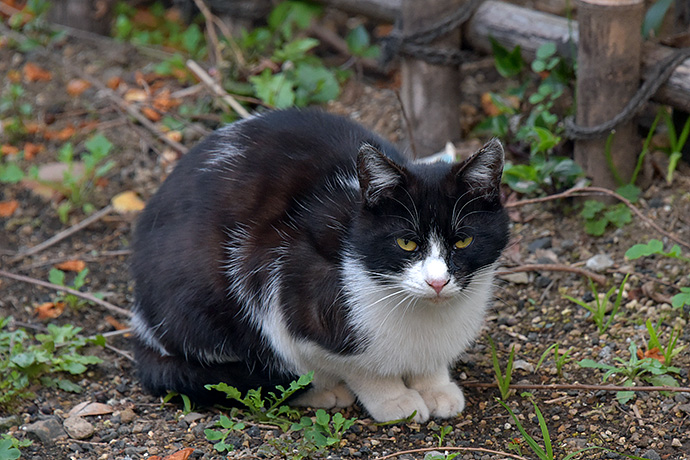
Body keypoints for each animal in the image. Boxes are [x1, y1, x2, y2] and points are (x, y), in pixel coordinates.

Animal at [129, 108, 508, 420]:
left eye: (463, 241)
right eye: (407, 243)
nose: (437, 282)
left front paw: (435, 386)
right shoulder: (289, 286)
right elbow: (358, 366)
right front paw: (393, 399)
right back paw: (322, 393)